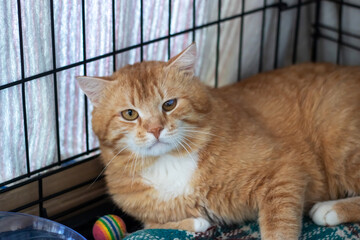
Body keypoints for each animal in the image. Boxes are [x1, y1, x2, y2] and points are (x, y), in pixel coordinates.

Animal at [76, 43, 360, 240]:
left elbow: (278, 223)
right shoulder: (144, 211)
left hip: (340, 147)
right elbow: (150, 226)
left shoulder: (284, 171)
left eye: (169, 104)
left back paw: (330, 209)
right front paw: (195, 222)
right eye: (130, 114)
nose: (156, 129)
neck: (168, 162)